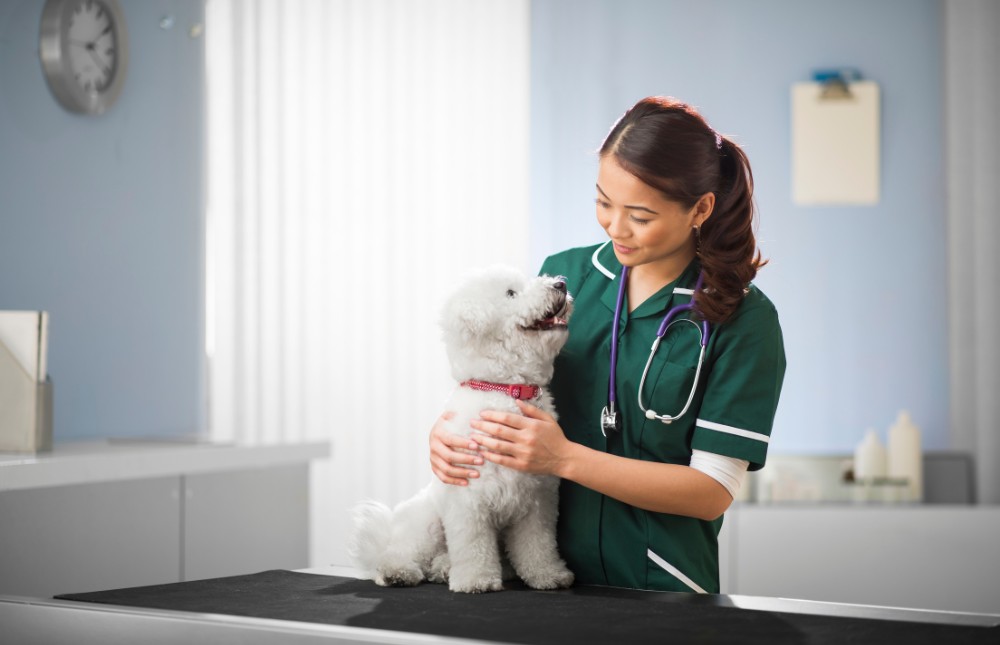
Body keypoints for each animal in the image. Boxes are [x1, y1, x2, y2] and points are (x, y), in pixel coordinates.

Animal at [348, 264, 576, 592]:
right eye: (511, 293)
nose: (560, 284)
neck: (505, 389)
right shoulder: (468, 500)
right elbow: (473, 546)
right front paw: (475, 580)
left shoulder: (538, 502)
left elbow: (539, 545)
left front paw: (548, 575)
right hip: (427, 523)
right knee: (399, 553)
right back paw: (398, 572)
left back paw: (444, 569)